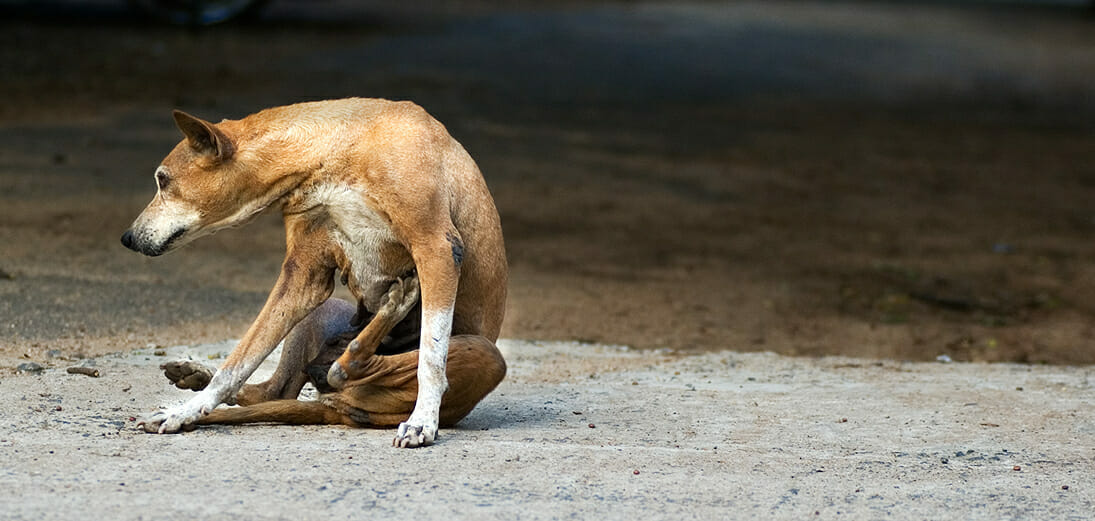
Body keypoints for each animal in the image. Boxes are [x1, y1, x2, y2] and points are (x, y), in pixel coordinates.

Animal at [120, 98, 508, 448]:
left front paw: (423, 420)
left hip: (484, 352)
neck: (335, 153)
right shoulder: (303, 279)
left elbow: (431, 356)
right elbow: (239, 360)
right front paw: (185, 411)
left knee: (352, 367)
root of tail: (335, 409)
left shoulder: (437, 248)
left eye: (163, 180)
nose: (127, 238)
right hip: (324, 311)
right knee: (286, 386)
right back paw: (198, 376)